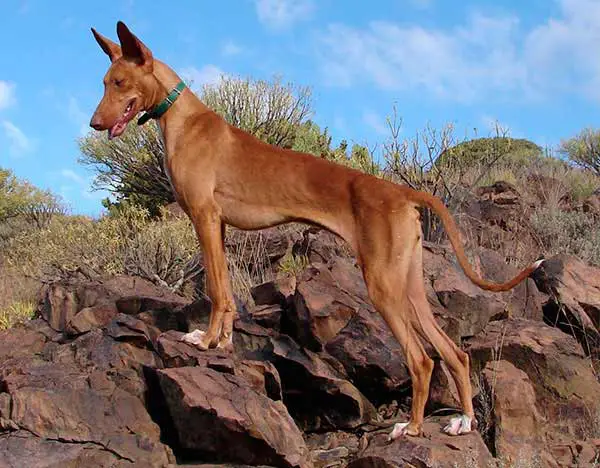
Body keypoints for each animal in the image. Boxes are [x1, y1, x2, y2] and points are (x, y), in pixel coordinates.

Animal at [89, 22, 544, 438]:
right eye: (104, 82)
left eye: (120, 83)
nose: (94, 123)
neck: (183, 119)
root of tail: (400, 191)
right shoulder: (218, 226)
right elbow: (226, 292)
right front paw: (222, 342)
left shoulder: (203, 217)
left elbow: (215, 290)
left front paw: (204, 342)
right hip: (410, 284)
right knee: (454, 352)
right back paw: (463, 420)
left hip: (382, 284)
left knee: (421, 358)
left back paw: (411, 428)